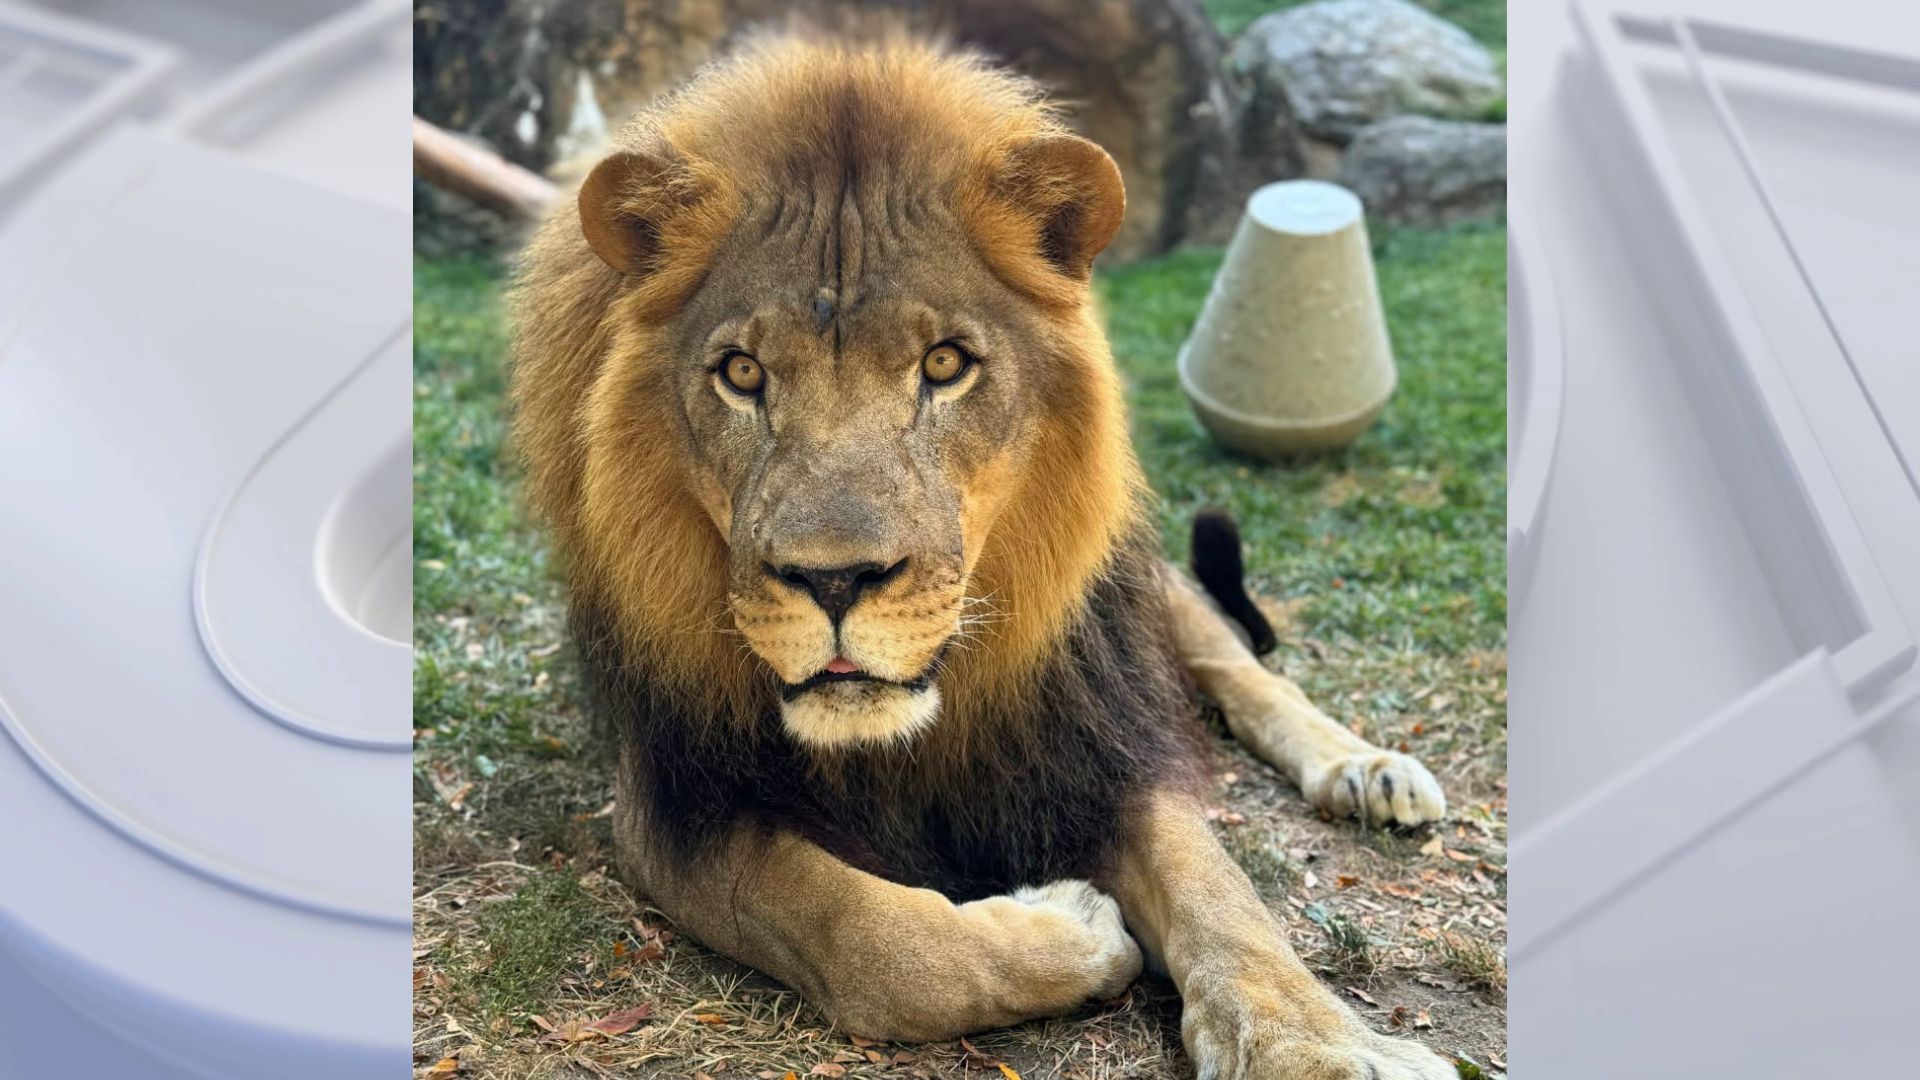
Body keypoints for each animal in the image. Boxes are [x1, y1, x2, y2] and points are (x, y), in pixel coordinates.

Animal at [510, 31, 1451, 1079]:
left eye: (946, 365)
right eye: (742, 373)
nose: (834, 580)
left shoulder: (1091, 740)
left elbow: (1222, 894)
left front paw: (1315, 1044)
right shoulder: (674, 803)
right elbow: (868, 936)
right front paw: (1076, 923)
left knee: (1239, 664)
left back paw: (1365, 769)